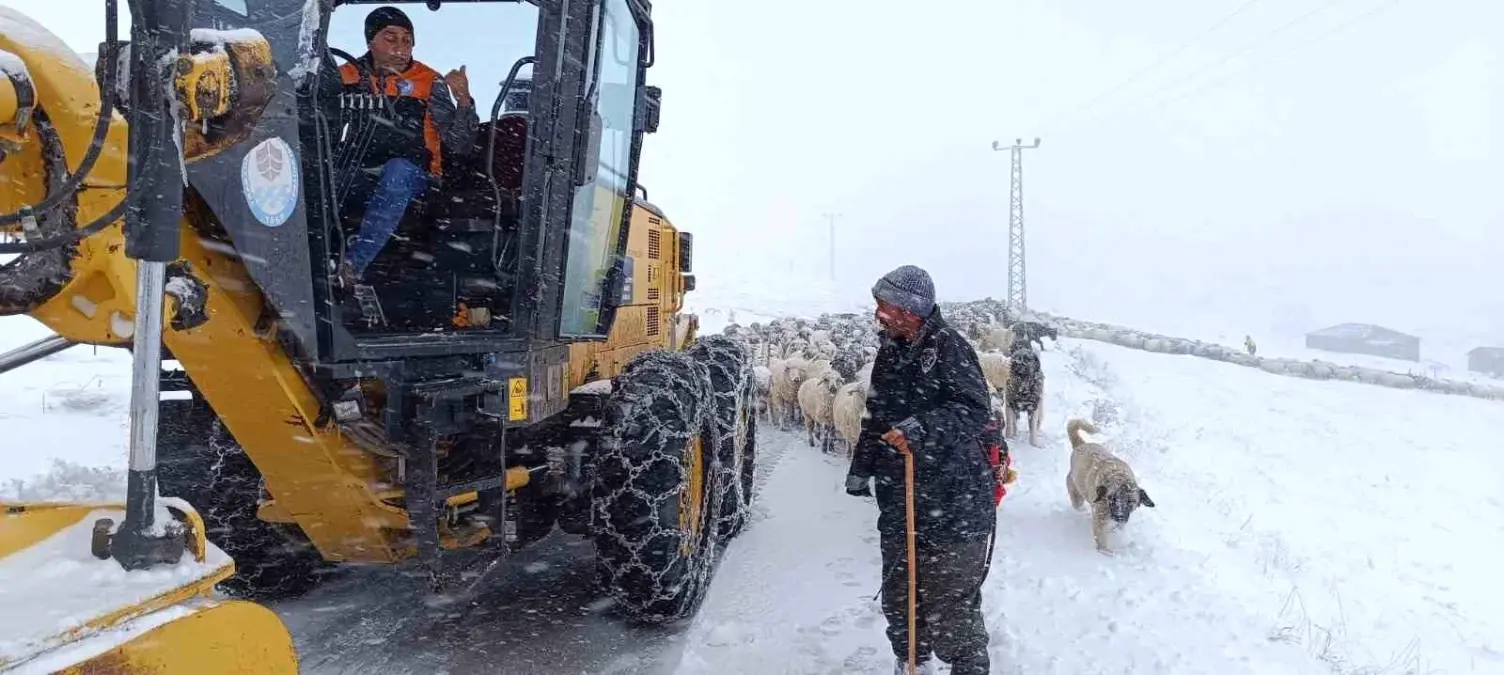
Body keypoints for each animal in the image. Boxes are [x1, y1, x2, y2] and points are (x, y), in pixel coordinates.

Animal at [1064, 417, 1155, 556]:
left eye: (1131, 501)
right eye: (1112, 499)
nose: (1119, 517)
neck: (1120, 478)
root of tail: (1080, 444)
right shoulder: (1100, 520)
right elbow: (1101, 540)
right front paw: (1106, 553)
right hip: (1076, 491)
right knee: (1077, 503)